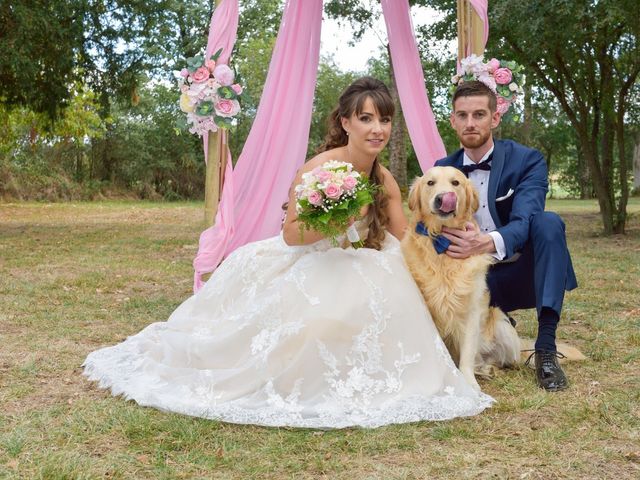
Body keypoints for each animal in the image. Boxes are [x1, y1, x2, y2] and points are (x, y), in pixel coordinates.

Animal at [402, 167, 524, 388]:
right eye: (430, 183)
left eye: (455, 183)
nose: (443, 198)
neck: (441, 242)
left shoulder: (472, 310)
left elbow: (467, 353)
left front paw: (469, 384)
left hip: (502, 325)